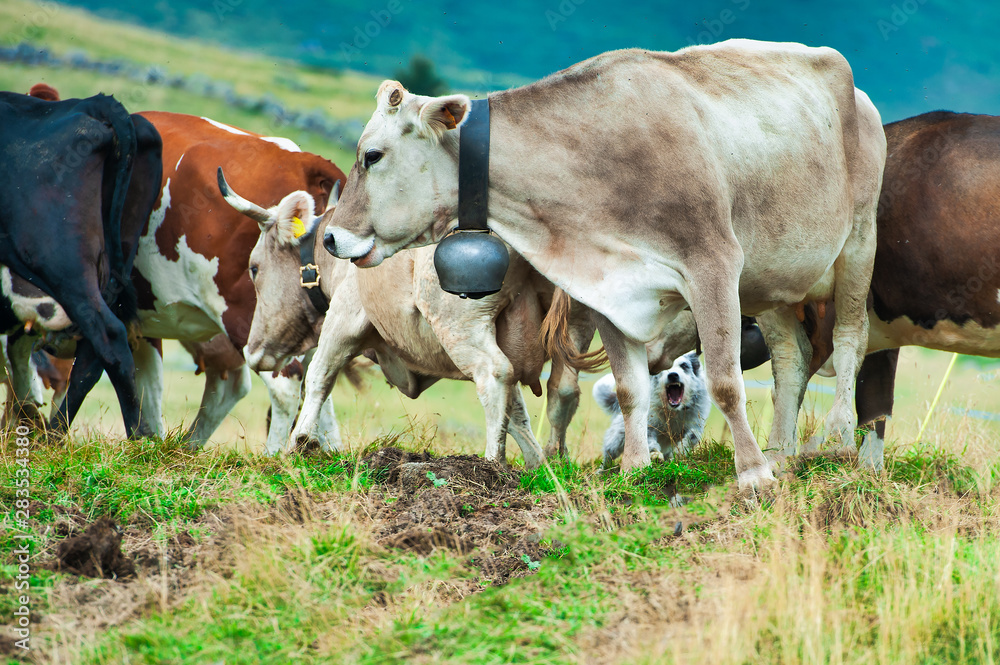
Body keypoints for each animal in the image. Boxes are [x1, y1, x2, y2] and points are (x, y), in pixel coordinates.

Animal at [318, 40, 884, 488]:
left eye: (372, 155)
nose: (328, 237)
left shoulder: (714, 265)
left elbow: (725, 380)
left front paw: (751, 476)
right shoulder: (608, 286)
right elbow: (631, 388)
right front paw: (635, 468)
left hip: (858, 242)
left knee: (850, 340)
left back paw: (835, 440)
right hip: (772, 285)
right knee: (792, 359)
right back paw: (782, 454)